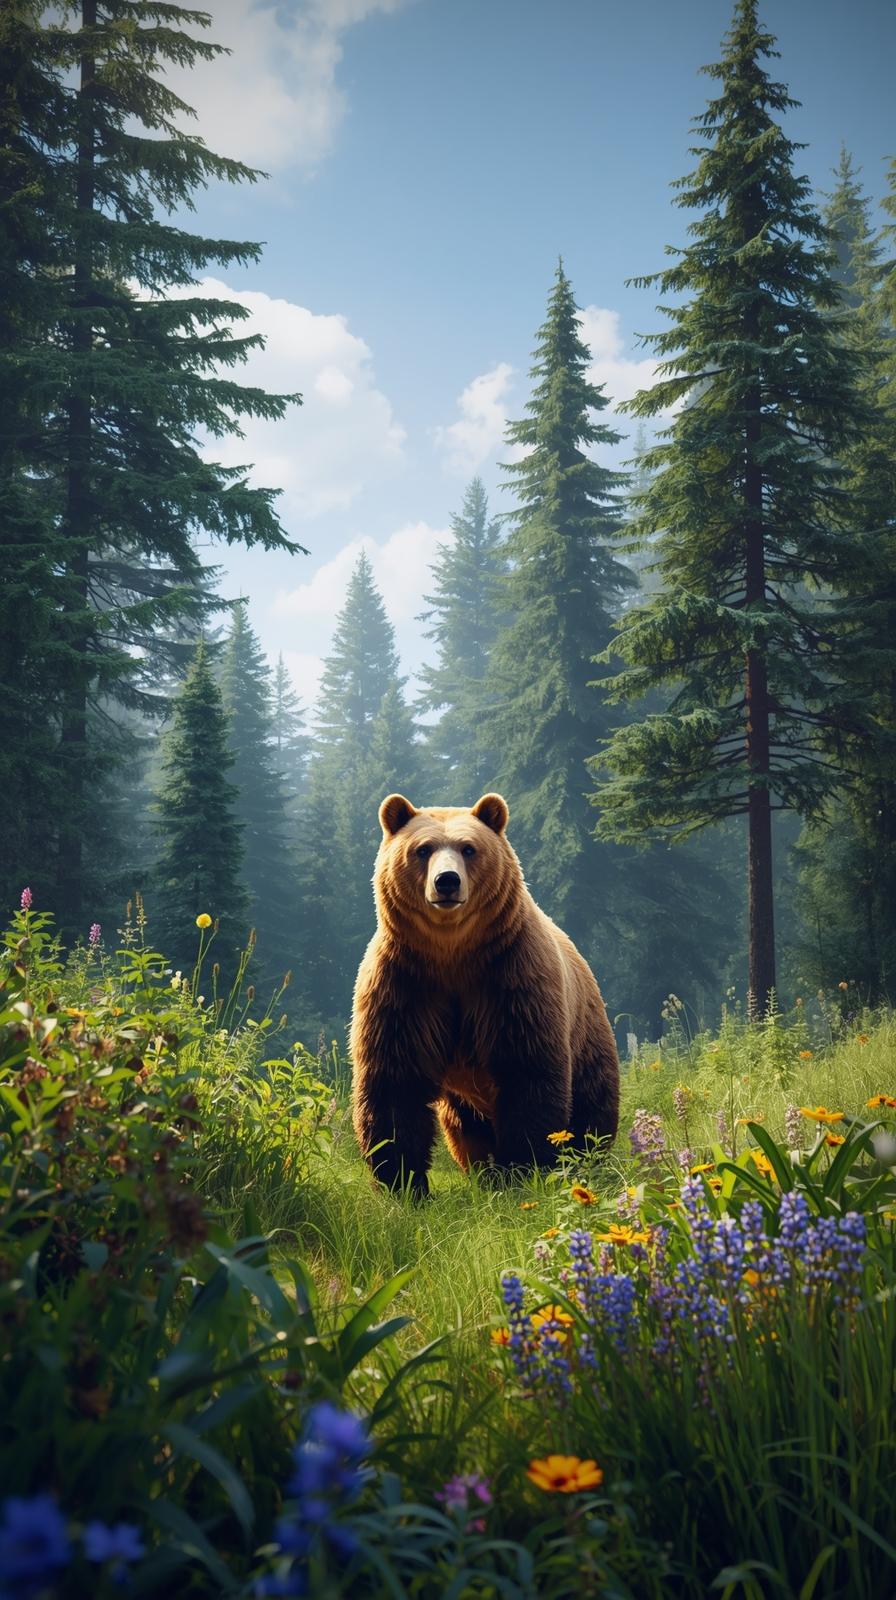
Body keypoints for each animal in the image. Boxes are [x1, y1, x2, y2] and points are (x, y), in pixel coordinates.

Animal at [350, 791, 620, 1197]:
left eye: (468, 848)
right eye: (422, 849)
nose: (447, 881)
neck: (452, 953)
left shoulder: (509, 980)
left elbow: (527, 1072)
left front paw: (525, 1167)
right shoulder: (406, 987)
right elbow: (394, 1083)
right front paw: (402, 1181)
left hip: (585, 1031)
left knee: (593, 1103)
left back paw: (587, 1157)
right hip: (462, 1096)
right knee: (465, 1127)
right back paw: (483, 1171)